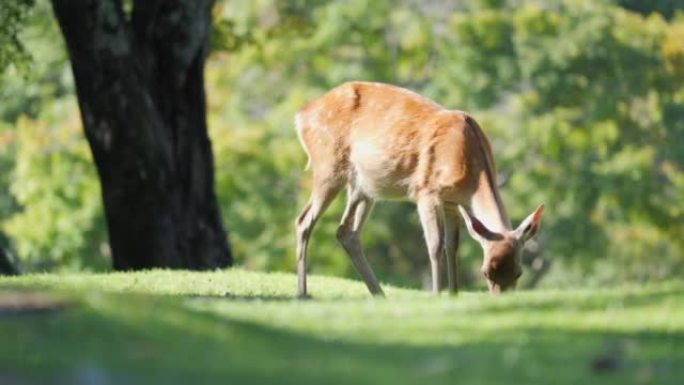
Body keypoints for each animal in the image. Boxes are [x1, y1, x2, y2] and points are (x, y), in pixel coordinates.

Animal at [294, 82, 544, 296]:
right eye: (485, 272)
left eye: (519, 272)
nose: (500, 298)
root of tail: (300, 115)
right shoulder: (426, 192)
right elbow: (435, 245)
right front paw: (437, 295)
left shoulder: (453, 204)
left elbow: (452, 247)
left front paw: (454, 295)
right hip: (327, 166)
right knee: (304, 220)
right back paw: (302, 293)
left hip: (363, 186)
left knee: (346, 233)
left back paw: (380, 295)